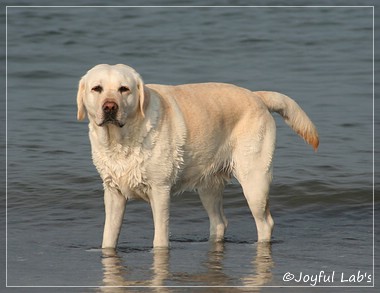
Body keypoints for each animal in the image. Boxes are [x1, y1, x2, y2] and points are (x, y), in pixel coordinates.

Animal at [76, 63, 318, 246]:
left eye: (124, 89)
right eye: (97, 89)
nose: (109, 107)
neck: (121, 141)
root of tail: (257, 96)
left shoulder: (160, 190)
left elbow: (160, 239)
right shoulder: (113, 193)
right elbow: (108, 237)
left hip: (255, 182)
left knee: (265, 223)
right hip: (208, 186)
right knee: (219, 222)